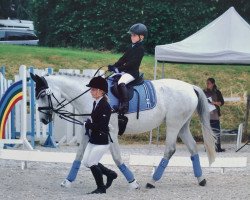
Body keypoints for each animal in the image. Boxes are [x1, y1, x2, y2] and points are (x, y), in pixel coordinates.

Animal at [30, 72, 216, 189]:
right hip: (182, 126)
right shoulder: (88, 130)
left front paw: (132, 182)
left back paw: (152, 181)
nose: (43, 120)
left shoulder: (110, 131)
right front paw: (67, 181)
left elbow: (117, 158)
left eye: (42, 95)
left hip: (173, 124)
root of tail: (190, 87)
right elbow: (79, 156)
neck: (92, 97)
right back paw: (201, 179)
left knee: (170, 149)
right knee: (193, 148)